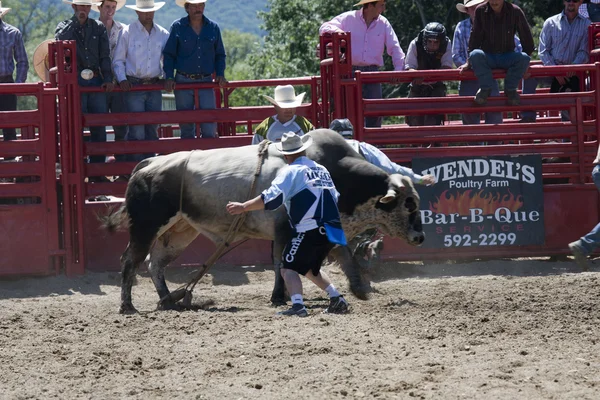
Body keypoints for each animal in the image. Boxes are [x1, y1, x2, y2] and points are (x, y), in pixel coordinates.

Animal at [102, 130, 422, 314]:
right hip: (145, 227)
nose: (420, 238)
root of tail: (148, 165)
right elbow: (282, 263)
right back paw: (127, 306)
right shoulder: (285, 230)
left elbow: (341, 256)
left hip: (180, 231)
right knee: (130, 261)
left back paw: (169, 300)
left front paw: (358, 289)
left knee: (155, 263)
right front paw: (280, 296)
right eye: (408, 203)